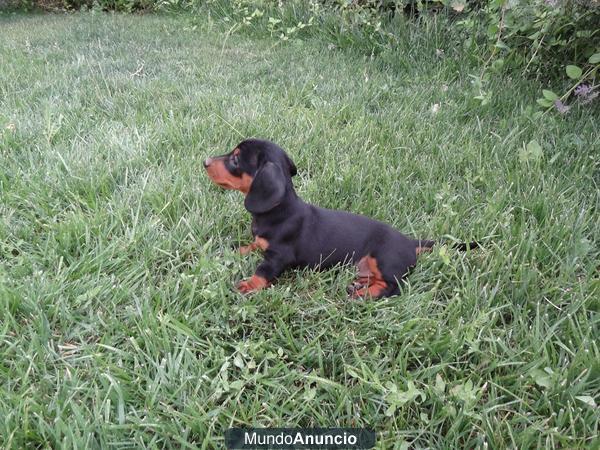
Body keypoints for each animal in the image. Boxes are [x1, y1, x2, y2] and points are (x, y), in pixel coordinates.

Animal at [204, 139, 476, 298]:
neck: (279, 211)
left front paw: (249, 284)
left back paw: (364, 295)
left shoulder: (279, 256)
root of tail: (410, 242)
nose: (205, 161)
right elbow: (251, 246)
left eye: (235, 159)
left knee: (393, 287)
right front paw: (234, 250)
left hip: (384, 258)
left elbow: (263, 270)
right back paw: (359, 287)